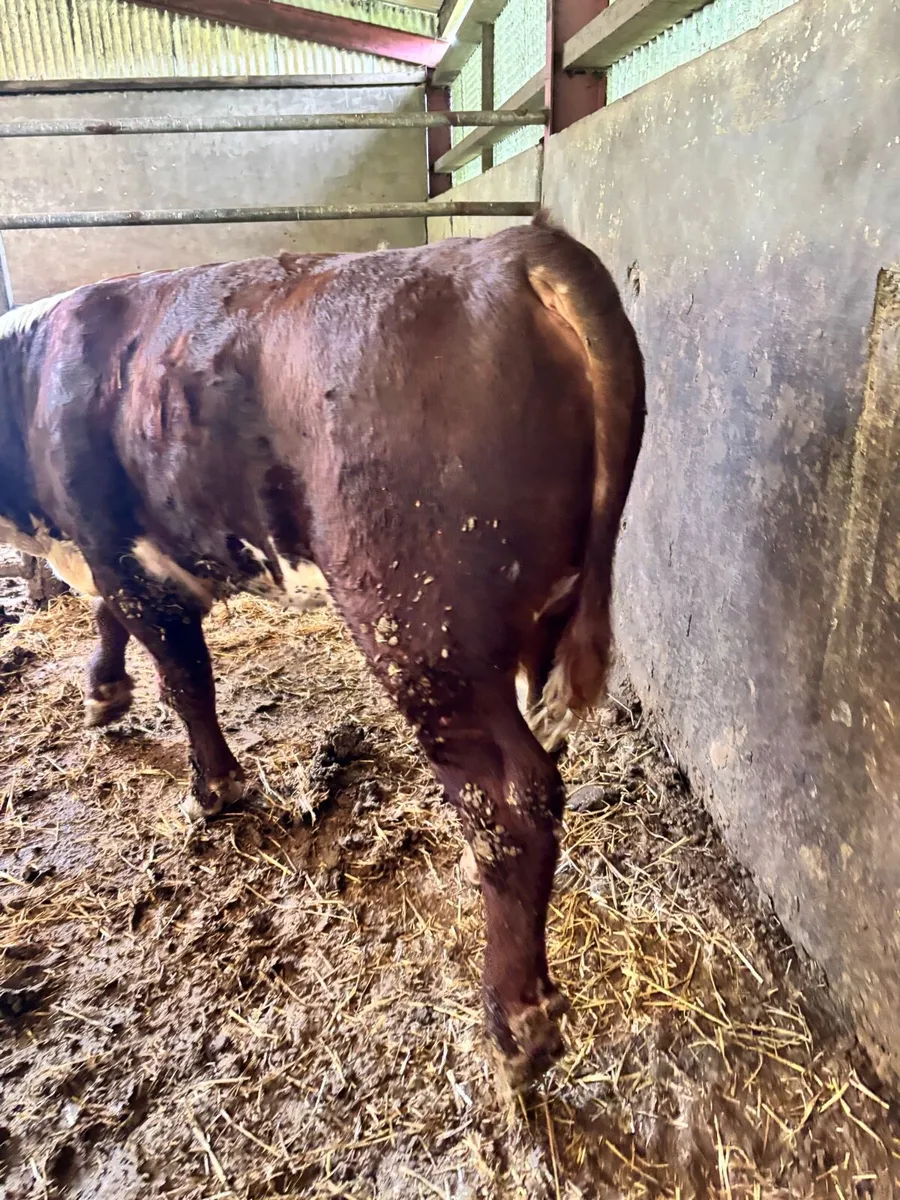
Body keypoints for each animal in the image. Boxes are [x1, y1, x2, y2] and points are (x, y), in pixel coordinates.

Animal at [0, 214, 644, 1089]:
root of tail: (512, 249)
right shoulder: (117, 560)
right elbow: (114, 625)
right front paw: (104, 694)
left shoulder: (123, 553)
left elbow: (185, 679)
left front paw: (214, 788)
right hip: (538, 619)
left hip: (419, 625)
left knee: (509, 800)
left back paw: (517, 1023)